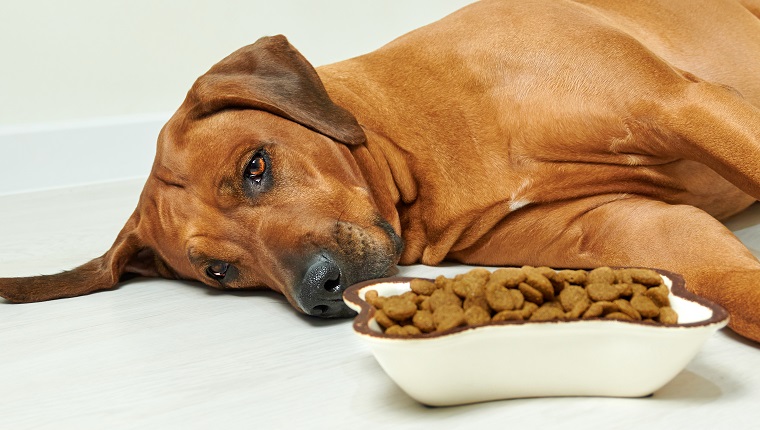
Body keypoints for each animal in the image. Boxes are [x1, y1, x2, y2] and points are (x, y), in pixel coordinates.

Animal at [1, 0, 760, 342]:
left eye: (255, 167)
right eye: (220, 271)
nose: (318, 289)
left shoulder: (686, 104)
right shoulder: (630, 227)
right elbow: (726, 277)